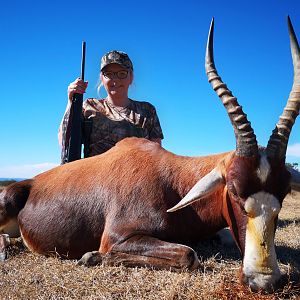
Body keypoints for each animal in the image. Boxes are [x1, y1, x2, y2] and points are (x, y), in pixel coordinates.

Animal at [0, 17, 300, 292]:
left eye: (283, 193)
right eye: (235, 191)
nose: (263, 280)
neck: (172, 181)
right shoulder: (117, 237)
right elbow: (188, 255)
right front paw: (90, 256)